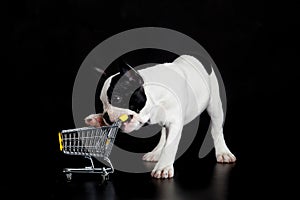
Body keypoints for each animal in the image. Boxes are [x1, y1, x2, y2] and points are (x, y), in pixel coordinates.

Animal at [84, 54, 237, 178]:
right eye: (102, 104)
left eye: (116, 98)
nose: (106, 115)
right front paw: (97, 119)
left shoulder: (174, 123)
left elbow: (170, 146)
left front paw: (163, 167)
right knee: (163, 135)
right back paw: (156, 153)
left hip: (214, 104)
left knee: (216, 129)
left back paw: (223, 152)